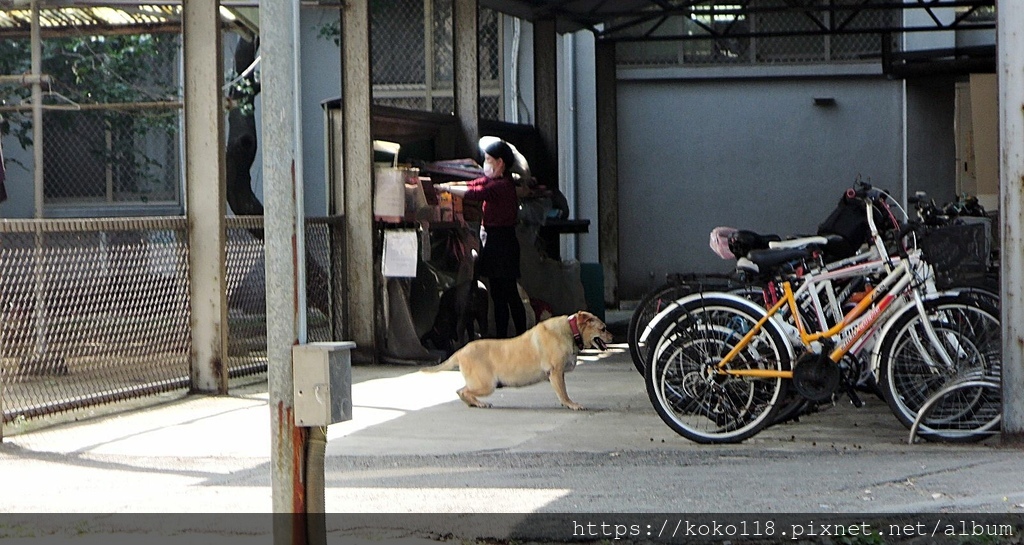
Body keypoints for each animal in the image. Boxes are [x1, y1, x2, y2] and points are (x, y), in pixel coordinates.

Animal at [419, 311, 610, 409]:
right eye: (603, 328)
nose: (613, 336)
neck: (572, 330)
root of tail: (460, 351)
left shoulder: (558, 374)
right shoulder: (555, 372)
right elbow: (563, 392)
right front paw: (570, 404)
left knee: (462, 391)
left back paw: (476, 403)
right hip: (486, 384)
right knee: (462, 391)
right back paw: (478, 403)